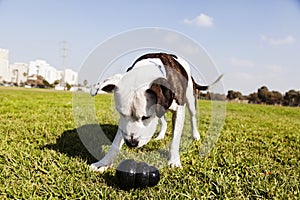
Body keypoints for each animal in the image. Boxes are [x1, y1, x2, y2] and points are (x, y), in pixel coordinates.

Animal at [89, 52, 223, 171]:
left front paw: (174, 161)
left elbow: (175, 139)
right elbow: (116, 142)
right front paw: (104, 163)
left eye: (145, 117)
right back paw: (160, 136)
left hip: (190, 98)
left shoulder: (179, 110)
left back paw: (195, 135)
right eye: (121, 114)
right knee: (164, 121)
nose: (131, 143)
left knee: (193, 117)